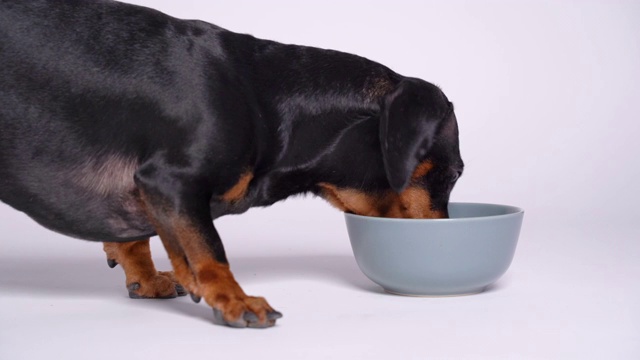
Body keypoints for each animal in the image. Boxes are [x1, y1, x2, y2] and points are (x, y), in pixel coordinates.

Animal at [0, 0, 460, 328]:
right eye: (454, 174)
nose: (443, 235)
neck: (266, 99)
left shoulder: (153, 191)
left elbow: (144, 238)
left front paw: (145, 278)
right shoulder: (171, 181)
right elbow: (209, 249)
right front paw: (235, 300)